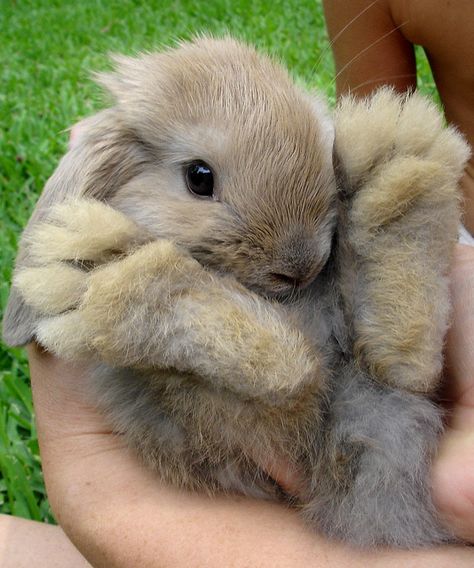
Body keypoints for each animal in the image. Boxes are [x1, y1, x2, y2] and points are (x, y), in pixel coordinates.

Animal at [3, 37, 470, 548]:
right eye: (199, 176)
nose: (301, 266)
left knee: (394, 367)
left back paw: (399, 163)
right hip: (202, 422)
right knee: (302, 372)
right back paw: (103, 270)